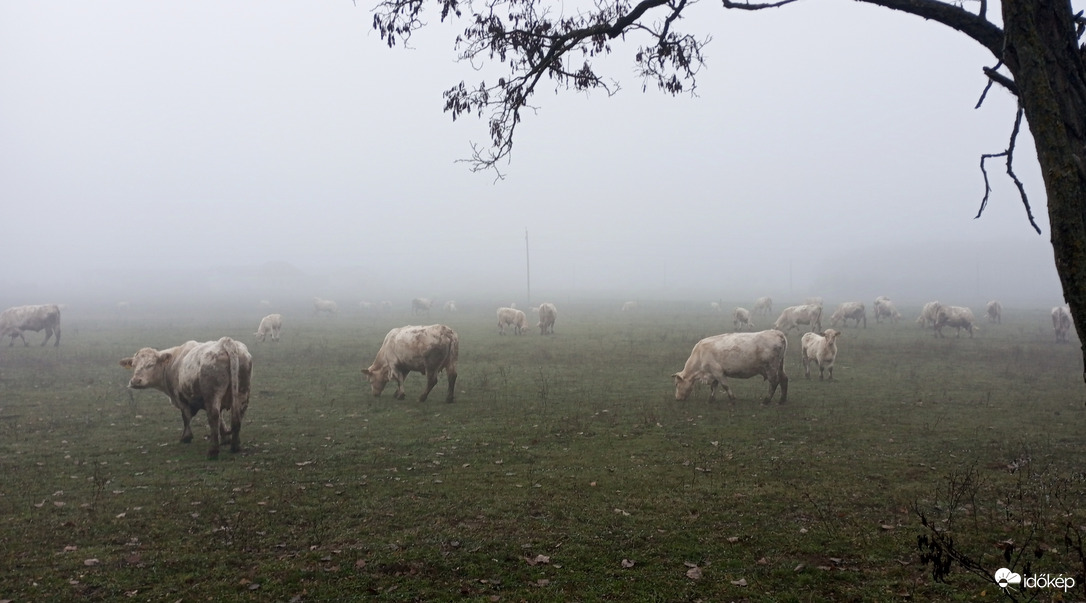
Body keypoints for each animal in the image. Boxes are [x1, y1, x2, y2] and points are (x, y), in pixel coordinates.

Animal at [120, 336, 250, 460]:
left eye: (151, 365)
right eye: (133, 365)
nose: (135, 381)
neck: (173, 362)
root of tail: (226, 342)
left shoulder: (180, 398)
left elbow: (186, 417)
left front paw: (186, 437)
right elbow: (221, 419)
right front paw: (225, 438)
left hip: (213, 395)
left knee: (213, 416)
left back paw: (213, 451)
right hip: (242, 392)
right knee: (237, 417)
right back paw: (235, 445)